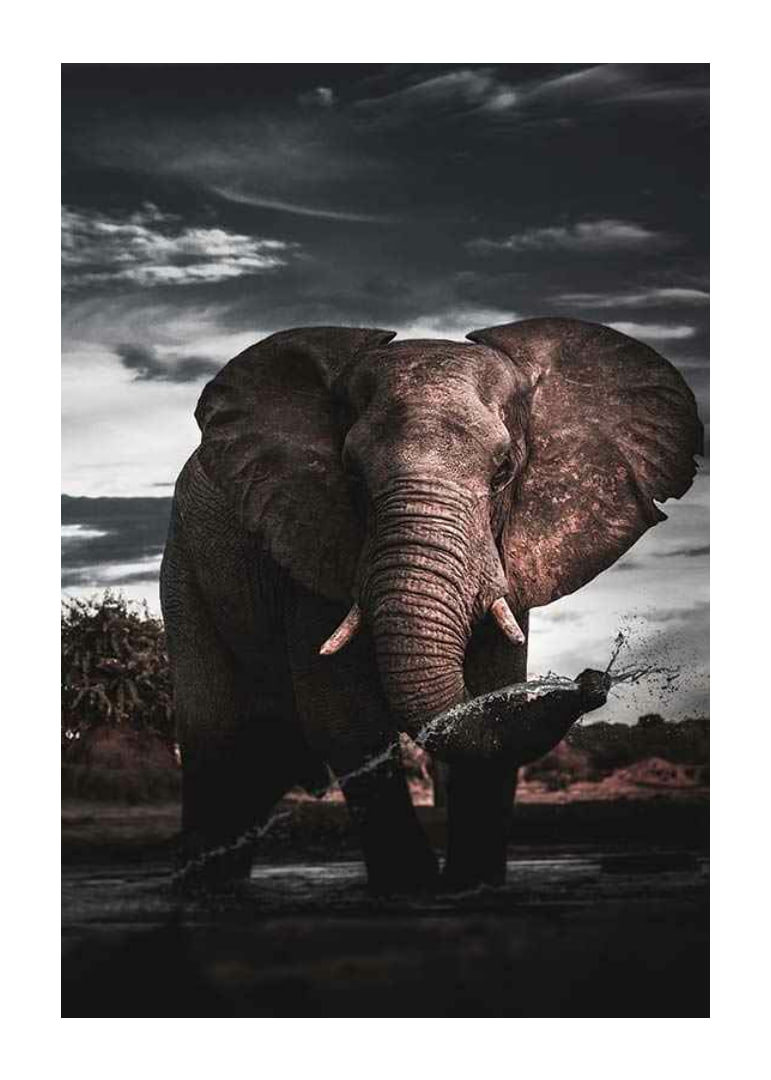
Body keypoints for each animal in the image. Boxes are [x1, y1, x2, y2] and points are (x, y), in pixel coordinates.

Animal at [160, 317, 702, 893]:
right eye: (351, 474)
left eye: (505, 471)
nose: (593, 680)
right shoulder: (309, 542)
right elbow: (345, 718)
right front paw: (412, 889)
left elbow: (491, 692)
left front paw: (473, 886)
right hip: (185, 569)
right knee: (216, 740)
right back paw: (202, 891)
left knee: (265, 756)